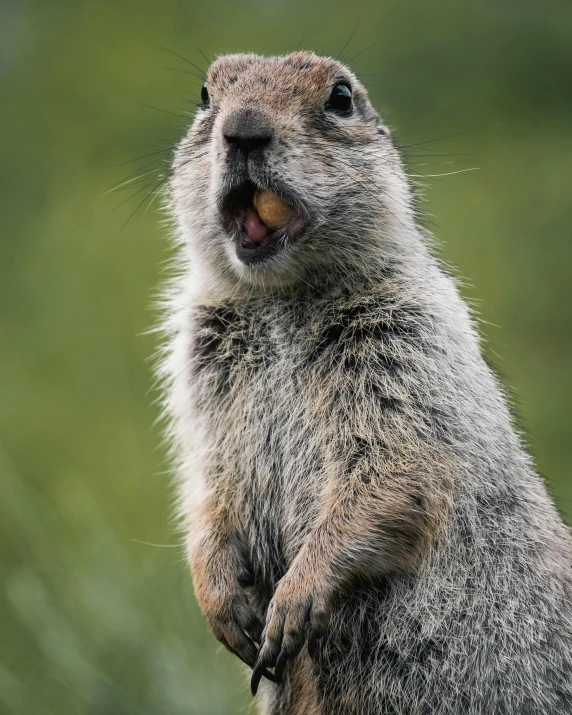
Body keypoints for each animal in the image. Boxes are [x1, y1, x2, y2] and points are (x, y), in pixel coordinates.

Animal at [159, 51, 572, 715]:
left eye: (340, 98)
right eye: (204, 95)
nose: (243, 128)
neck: (280, 300)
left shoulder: (406, 343)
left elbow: (393, 470)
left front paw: (294, 600)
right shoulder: (199, 369)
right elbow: (207, 481)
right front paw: (222, 600)